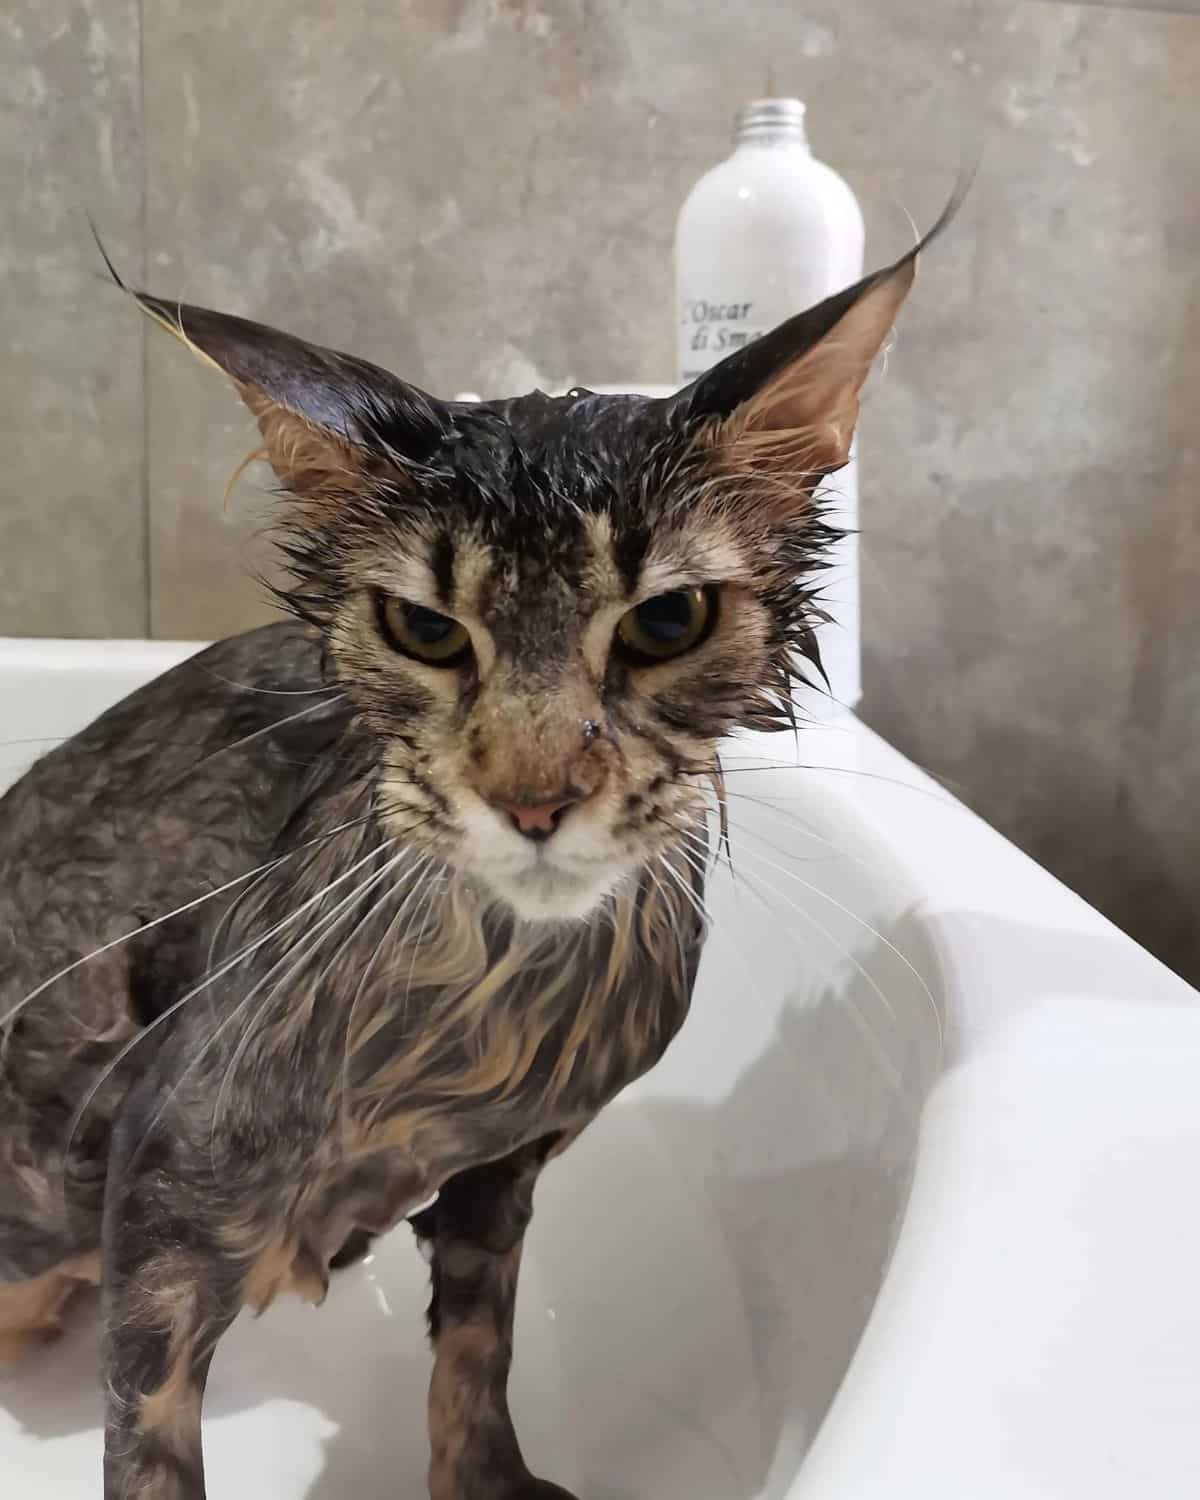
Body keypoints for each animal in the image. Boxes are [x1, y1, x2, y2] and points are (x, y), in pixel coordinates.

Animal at [0, 193, 954, 1494]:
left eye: (667, 620)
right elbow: (149, 1447)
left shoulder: (502, 1174)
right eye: (424, 628)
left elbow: (476, 1350)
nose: (534, 798)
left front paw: (486, 1476)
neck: (483, 1030)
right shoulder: (166, 1188)